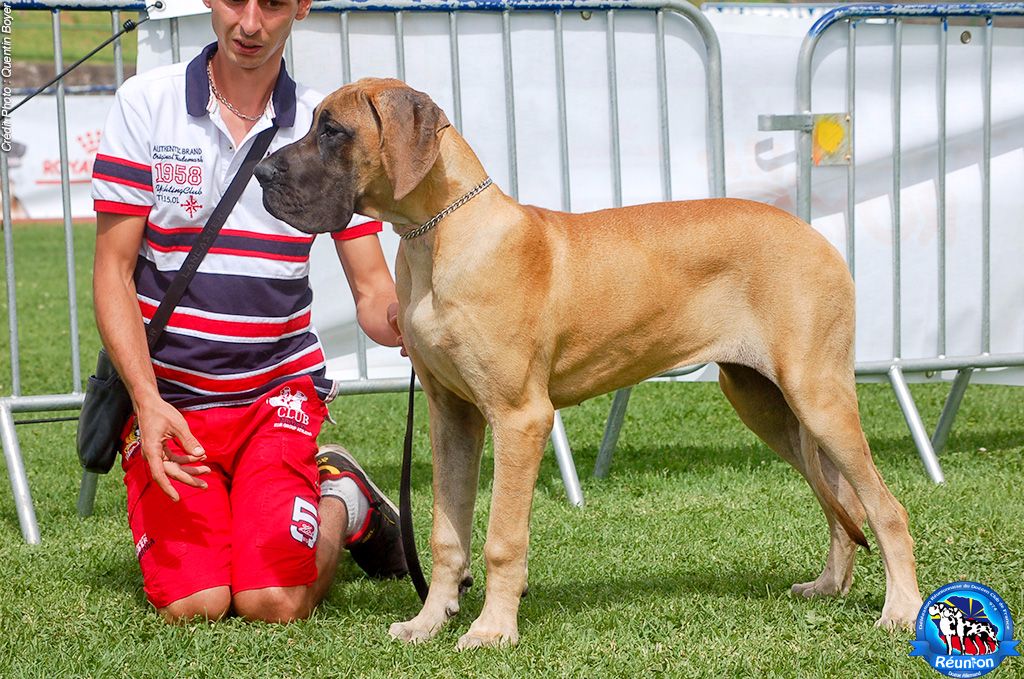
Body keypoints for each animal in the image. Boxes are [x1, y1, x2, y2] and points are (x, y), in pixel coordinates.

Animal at [253, 78, 921, 647]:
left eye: (333, 130)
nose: (260, 171)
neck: (437, 233)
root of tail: (818, 237)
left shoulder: (519, 418)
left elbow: (501, 538)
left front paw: (492, 630)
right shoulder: (453, 418)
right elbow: (447, 532)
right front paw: (428, 621)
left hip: (817, 395)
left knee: (885, 507)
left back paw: (902, 610)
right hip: (768, 404)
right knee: (841, 502)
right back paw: (830, 586)